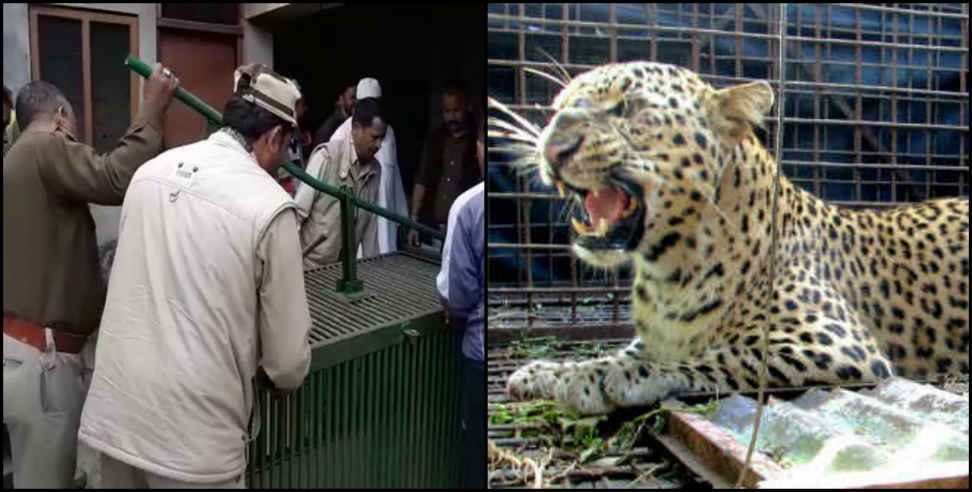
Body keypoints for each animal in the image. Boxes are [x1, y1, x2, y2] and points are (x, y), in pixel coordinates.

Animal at [498, 60, 968, 416]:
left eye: (626, 107)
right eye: (558, 106)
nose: (554, 146)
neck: (666, 270)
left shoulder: (839, 344)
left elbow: (719, 356)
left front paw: (604, 377)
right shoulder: (649, 338)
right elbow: (618, 353)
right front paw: (551, 372)